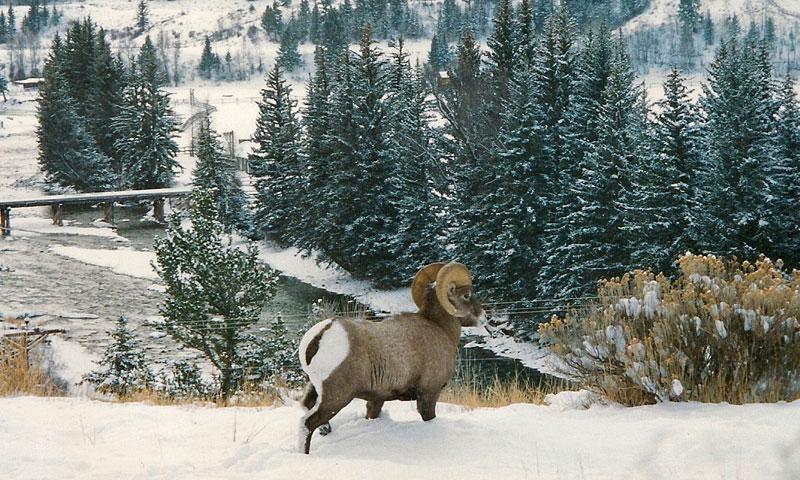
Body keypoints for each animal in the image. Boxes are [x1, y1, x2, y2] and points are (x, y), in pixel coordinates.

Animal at [297, 262, 484, 454]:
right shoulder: (429, 393)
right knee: (307, 424)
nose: (484, 317)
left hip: (315, 387)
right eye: (466, 295)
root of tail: (320, 336)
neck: (439, 328)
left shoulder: (376, 399)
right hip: (337, 397)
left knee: (307, 408)